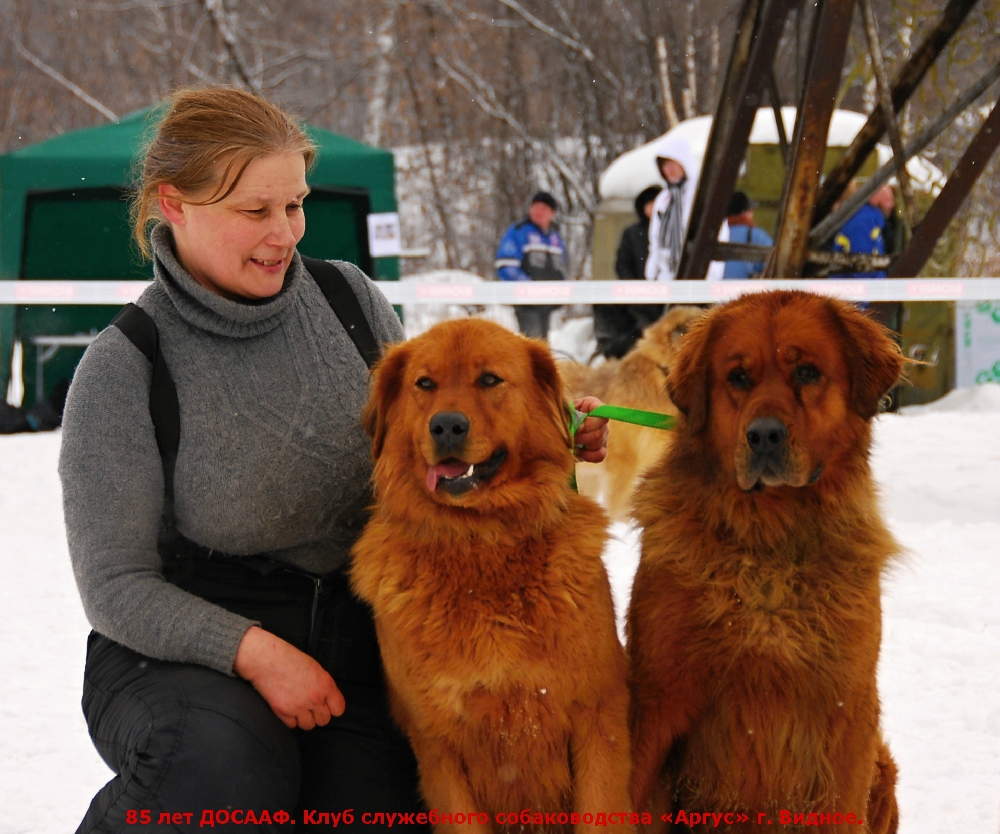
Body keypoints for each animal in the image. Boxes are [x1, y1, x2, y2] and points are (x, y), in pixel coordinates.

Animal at [354, 320, 632, 832]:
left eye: (489, 380)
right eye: (425, 384)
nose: (446, 425)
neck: (481, 545)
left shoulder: (596, 712)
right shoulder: (439, 743)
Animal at [632, 292, 908, 832]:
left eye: (807, 372)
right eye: (738, 377)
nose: (763, 436)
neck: (769, 540)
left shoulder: (846, 712)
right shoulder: (657, 703)